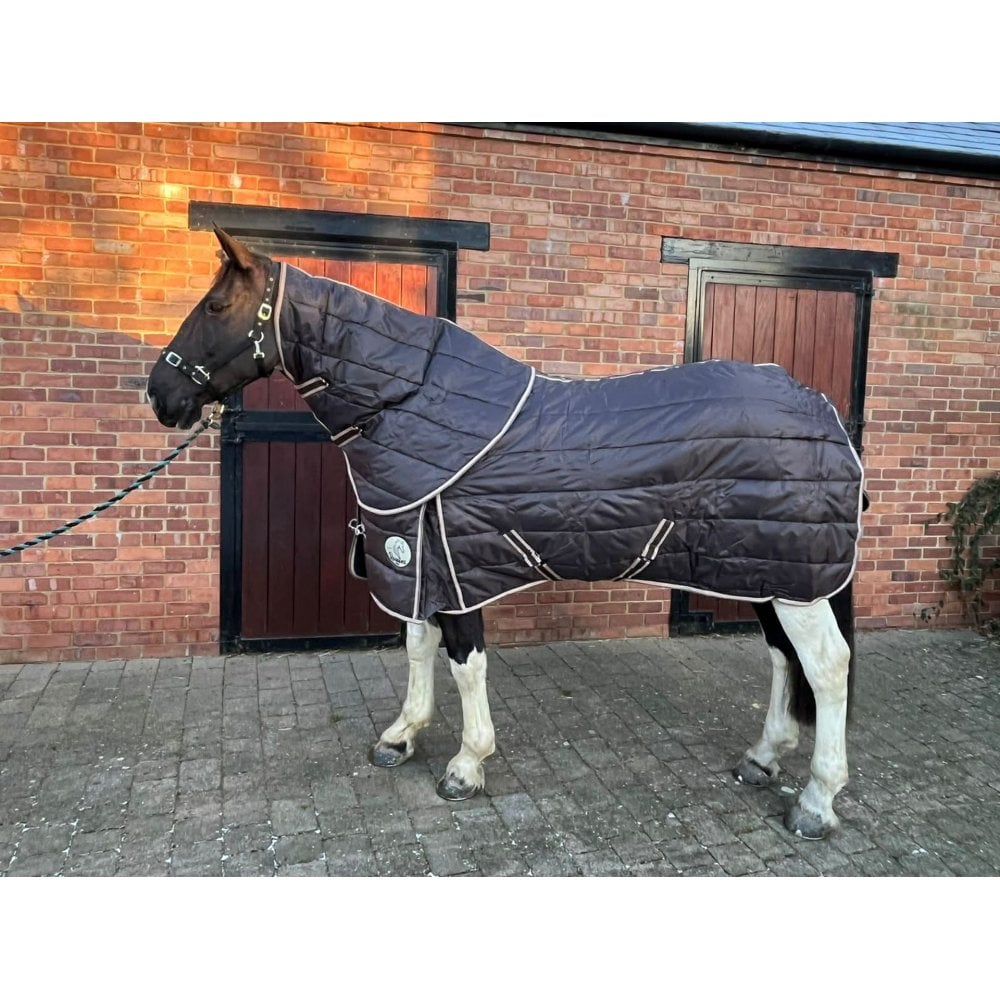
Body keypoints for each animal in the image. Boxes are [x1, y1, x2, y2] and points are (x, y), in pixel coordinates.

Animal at [148, 228, 864, 840]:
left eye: (216, 304)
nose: (159, 395)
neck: (411, 405)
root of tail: (822, 411)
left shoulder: (456, 565)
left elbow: (465, 665)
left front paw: (466, 765)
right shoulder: (416, 557)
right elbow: (417, 647)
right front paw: (401, 736)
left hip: (793, 580)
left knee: (828, 667)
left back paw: (817, 802)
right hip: (763, 571)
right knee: (782, 657)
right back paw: (763, 757)